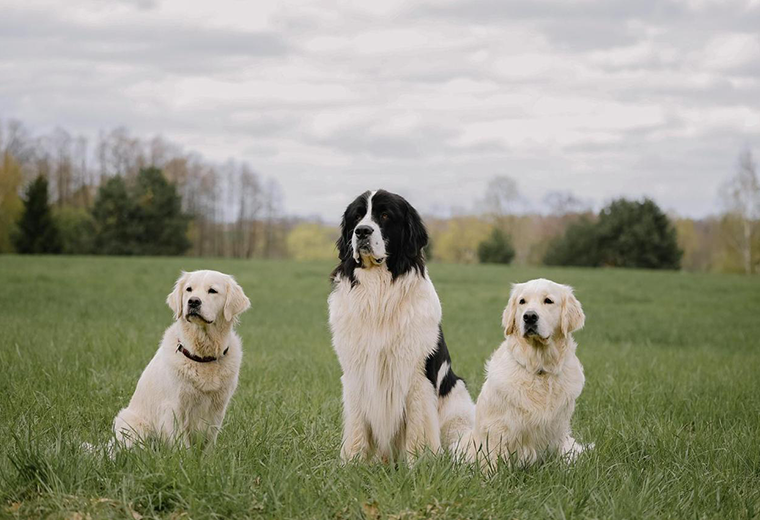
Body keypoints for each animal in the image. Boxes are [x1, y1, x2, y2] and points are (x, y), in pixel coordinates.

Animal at [111, 270, 251, 448]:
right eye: (189, 289)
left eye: (212, 291)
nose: (193, 301)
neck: (202, 355)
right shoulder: (174, 408)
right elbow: (182, 446)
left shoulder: (218, 409)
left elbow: (208, 444)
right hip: (131, 423)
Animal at [328, 189, 476, 462]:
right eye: (357, 217)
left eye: (385, 215)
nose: (362, 232)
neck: (379, 292)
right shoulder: (356, 371)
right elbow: (357, 425)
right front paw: (352, 462)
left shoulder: (416, 374)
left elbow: (418, 428)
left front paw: (420, 463)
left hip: (458, 407)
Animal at [466, 280, 592, 472]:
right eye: (522, 301)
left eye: (548, 301)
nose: (529, 317)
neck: (539, 368)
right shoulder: (498, 427)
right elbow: (494, 460)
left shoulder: (557, 430)